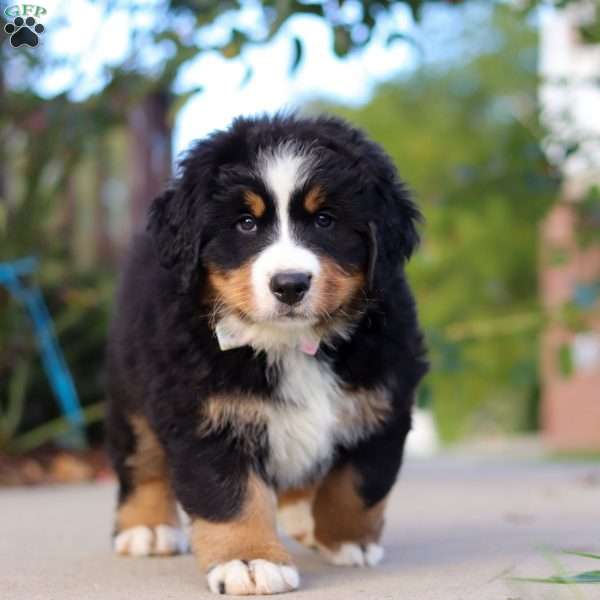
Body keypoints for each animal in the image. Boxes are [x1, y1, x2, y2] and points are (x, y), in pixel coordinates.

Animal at [106, 113, 426, 596]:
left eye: (325, 220)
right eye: (245, 223)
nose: (290, 284)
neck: (290, 344)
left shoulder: (383, 402)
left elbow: (357, 484)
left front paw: (348, 541)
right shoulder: (205, 415)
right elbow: (232, 496)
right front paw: (249, 560)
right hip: (132, 391)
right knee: (140, 459)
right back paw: (146, 528)